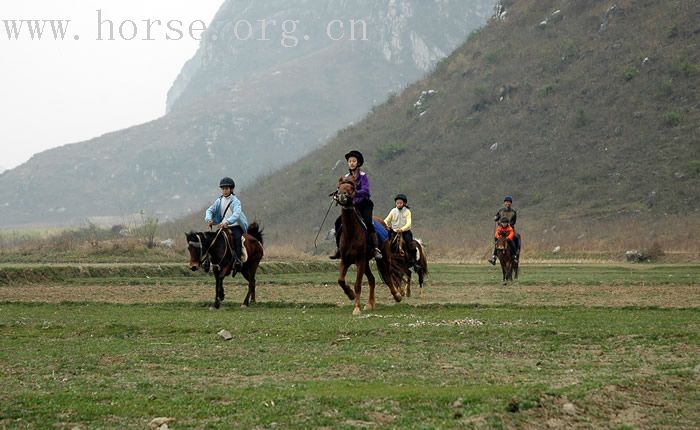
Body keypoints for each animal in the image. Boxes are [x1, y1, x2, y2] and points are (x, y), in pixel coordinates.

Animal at [334, 176, 402, 314]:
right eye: (339, 187)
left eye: (351, 188)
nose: (342, 196)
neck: (351, 233)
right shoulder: (345, 260)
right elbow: (341, 280)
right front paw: (350, 294)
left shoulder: (360, 261)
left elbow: (358, 285)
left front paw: (356, 308)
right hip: (366, 263)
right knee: (372, 279)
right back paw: (370, 304)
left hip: (384, 257)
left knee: (388, 275)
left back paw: (396, 295)